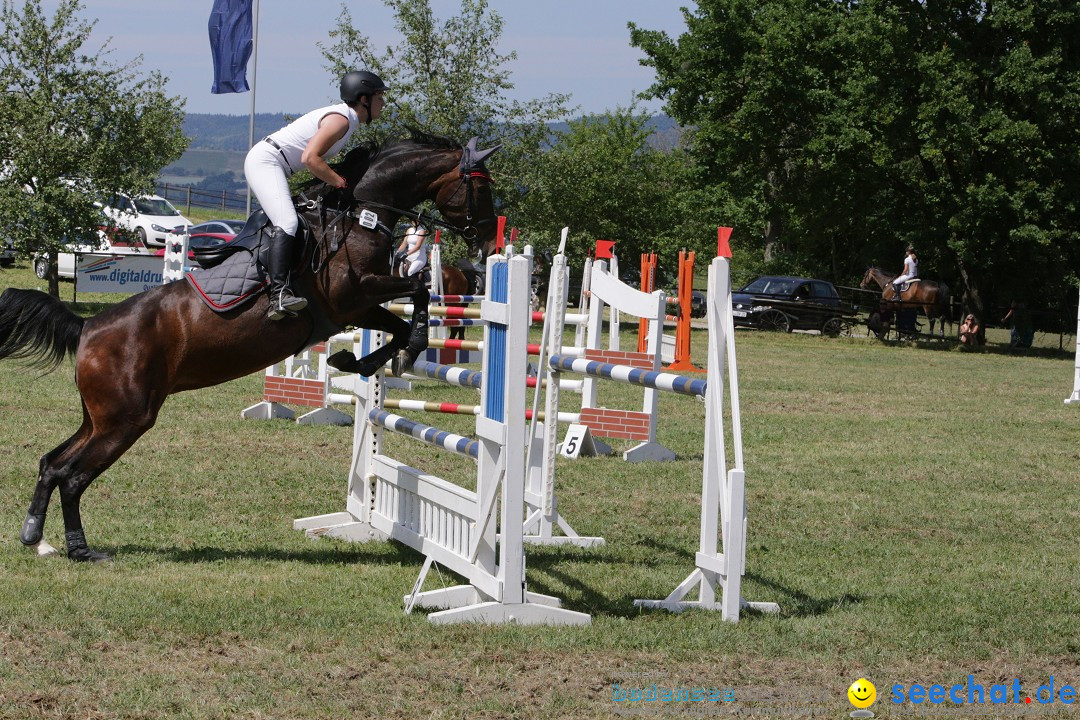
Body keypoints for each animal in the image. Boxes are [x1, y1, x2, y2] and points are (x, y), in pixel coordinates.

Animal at [0, 132, 498, 565]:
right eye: (480, 188)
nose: (488, 240)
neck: (358, 216)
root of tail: (86, 328)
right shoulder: (352, 297)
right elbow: (418, 290)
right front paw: (400, 352)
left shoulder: (356, 307)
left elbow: (401, 317)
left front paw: (362, 358)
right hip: (126, 420)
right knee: (72, 477)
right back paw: (82, 551)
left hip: (100, 418)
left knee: (51, 463)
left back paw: (37, 539)